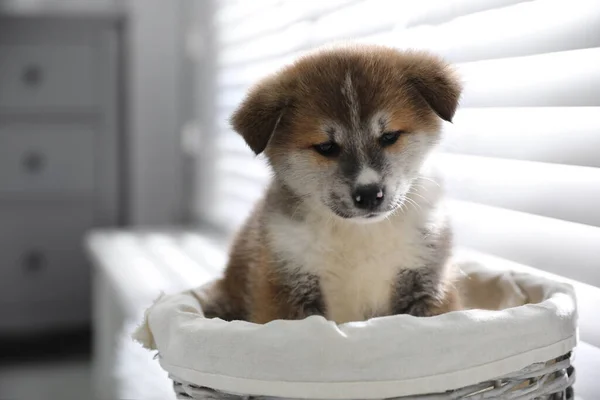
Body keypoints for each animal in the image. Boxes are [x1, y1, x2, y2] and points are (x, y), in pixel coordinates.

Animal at [202, 43, 464, 324]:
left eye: (389, 136)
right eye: (326, 147)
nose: (369, 194)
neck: (360, 235)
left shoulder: (428, 280)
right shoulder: (286, 289)